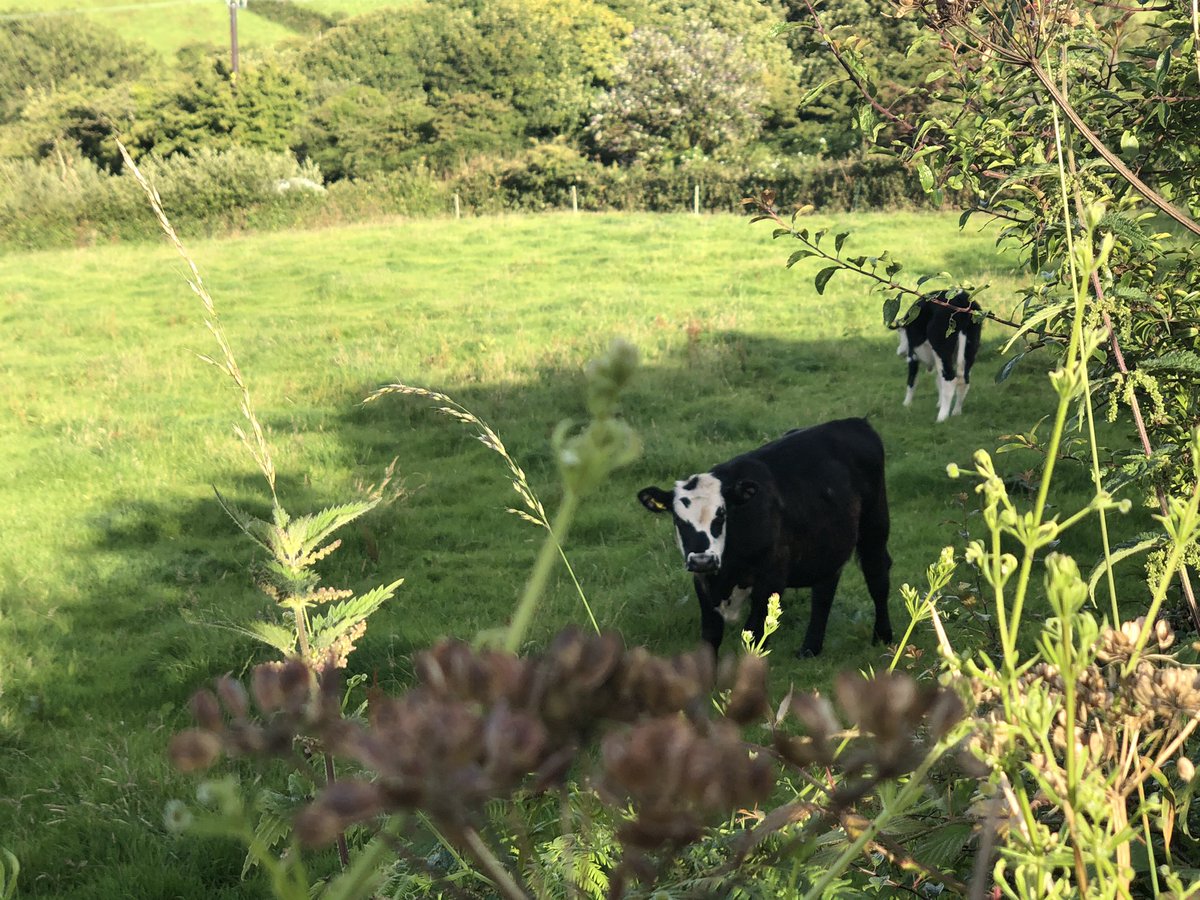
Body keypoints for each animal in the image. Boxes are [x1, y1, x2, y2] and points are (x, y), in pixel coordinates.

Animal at [637, 418, 893, 658]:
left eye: (721, 515)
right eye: (678, 520)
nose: (702, 560)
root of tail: (855, 422)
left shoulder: (771, 579)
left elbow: (755, 634)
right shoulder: (703, 584)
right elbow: (710, 636)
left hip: (875, 524)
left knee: (877, 574)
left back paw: (883, 637)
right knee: (825, 589)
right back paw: (810, 648)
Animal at [896, 289, 982, 422]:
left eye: (900, 332)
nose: (899, 351)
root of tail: (962, 298)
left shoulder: (913, 356)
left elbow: (912, 380)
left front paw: (906, 404)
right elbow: (938, 381)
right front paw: (939, 403)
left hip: (942, 348)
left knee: (950, 379)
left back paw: (942, 417)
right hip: (970, 347)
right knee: (963, 380)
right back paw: (956, 412)